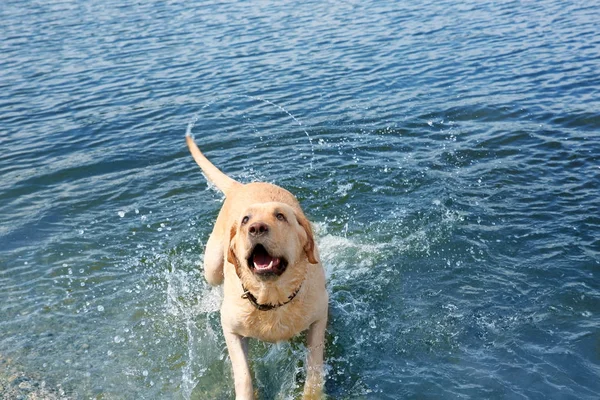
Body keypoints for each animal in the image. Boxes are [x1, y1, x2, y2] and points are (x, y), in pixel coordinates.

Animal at [186, 136, 328, 398]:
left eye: (280, 216)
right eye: (245, 220)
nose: (256, 228)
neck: (272, 297)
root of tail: (240, 187)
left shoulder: (319, 316)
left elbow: (314, 365)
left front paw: (312, 394)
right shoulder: (230, 328)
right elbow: (243, 373)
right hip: (211, 267)